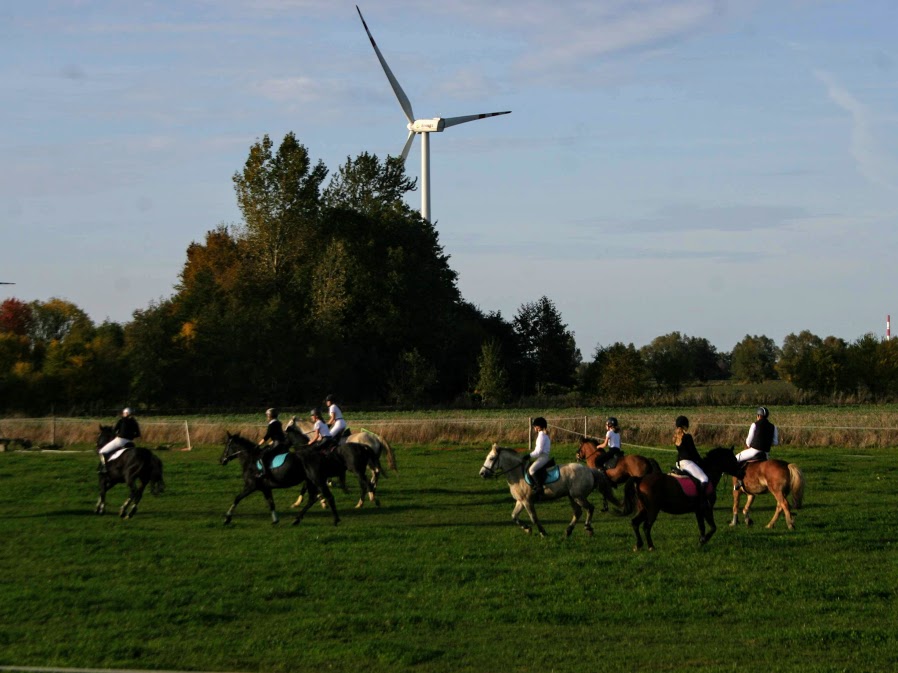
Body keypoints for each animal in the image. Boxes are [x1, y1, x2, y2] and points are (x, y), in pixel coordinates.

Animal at [480, 440, 620, 536]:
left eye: (491, 458)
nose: (482, 473)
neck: (518, 474)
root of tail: (589, 470)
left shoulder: (527, 501)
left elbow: (534, 518)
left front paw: (542, 532)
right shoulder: (520, 501)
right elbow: (514, 516)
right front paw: (527, 529)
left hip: (578, 496)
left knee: (590, 508)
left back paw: (588, 528)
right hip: (572, 497)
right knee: (578, 512)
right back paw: (568, 531)